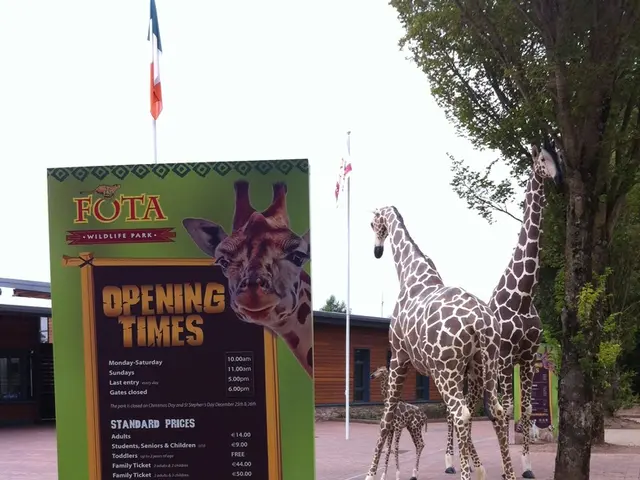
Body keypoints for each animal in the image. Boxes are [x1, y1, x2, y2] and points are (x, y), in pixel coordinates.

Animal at [364, 206, 516, 480]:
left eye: (373, 224)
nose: (377, 250)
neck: (411, 275)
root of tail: (481, 322)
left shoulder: (399, 357)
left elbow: (385, 419)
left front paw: (371, 474)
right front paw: (479, 468)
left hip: (448, 371)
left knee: (461, 414)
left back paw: (466, 474)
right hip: (485, 367)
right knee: (495, 412)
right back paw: (507, 474)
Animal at [442, 139, 564, 478]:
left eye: (559, 155)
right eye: (542, 160)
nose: (559, 180)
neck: (522, 297)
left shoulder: (529, 356)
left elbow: (525, 412)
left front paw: (526, 467)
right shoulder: (506, 358)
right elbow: (506, 410)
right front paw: (506, 467)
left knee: (464, 408)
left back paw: (468, 463)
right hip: (467, 370)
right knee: (454, 411)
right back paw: (451, 463)